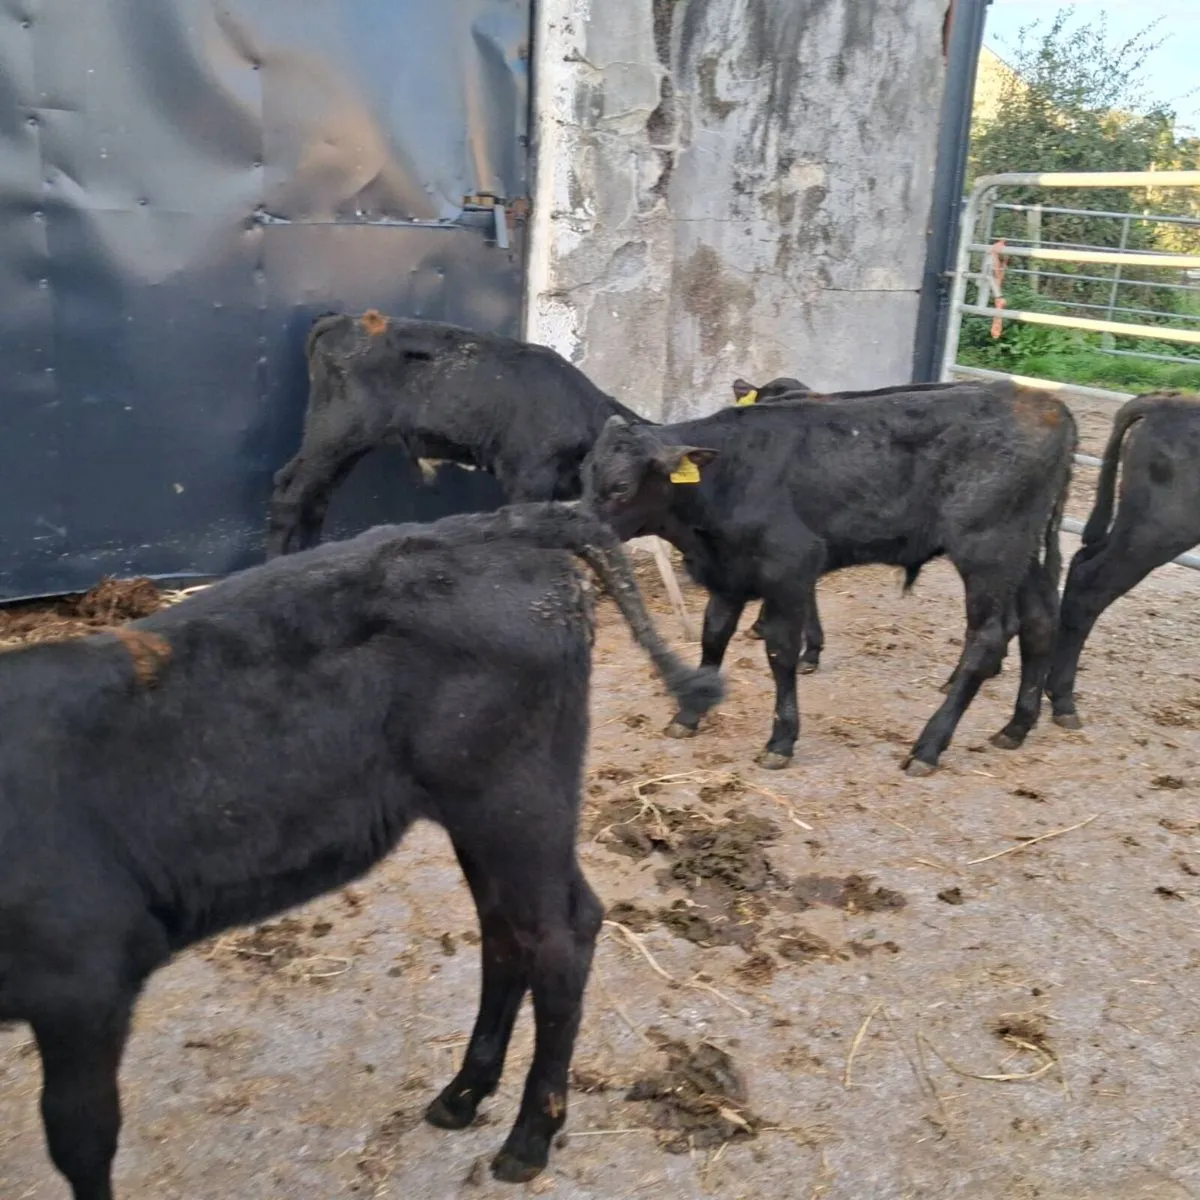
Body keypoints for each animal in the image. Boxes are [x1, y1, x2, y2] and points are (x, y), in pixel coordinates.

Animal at [0, 503, 722, 1200]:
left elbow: (80, 1136)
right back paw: (462, 1095)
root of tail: (501, 522)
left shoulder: (83, 983)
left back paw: (527, 1140)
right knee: (505, 933)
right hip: (479, 812)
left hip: (517, 802)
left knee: (559, 937)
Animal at [265, 312, 649, 557]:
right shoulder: (528, 479)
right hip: (333, 435)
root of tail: (342, 321)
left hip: (346, 446)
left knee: (317, 497)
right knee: (290, 492)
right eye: (624, 483)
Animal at [581, 378, 1076, 774]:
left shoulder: (790, 569)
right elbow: (713, 636)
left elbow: (780, 651)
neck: (726, 476)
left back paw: (928, 747)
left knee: (988, 637)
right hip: (1022, 553)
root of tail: (1044, 402)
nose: (580, 532)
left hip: (988, 551)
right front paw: (689, 713)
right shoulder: (730, 575)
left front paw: (781, 740)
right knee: (1038, 622)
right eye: (585, 474)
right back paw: (1016, 726)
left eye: (621, 486)